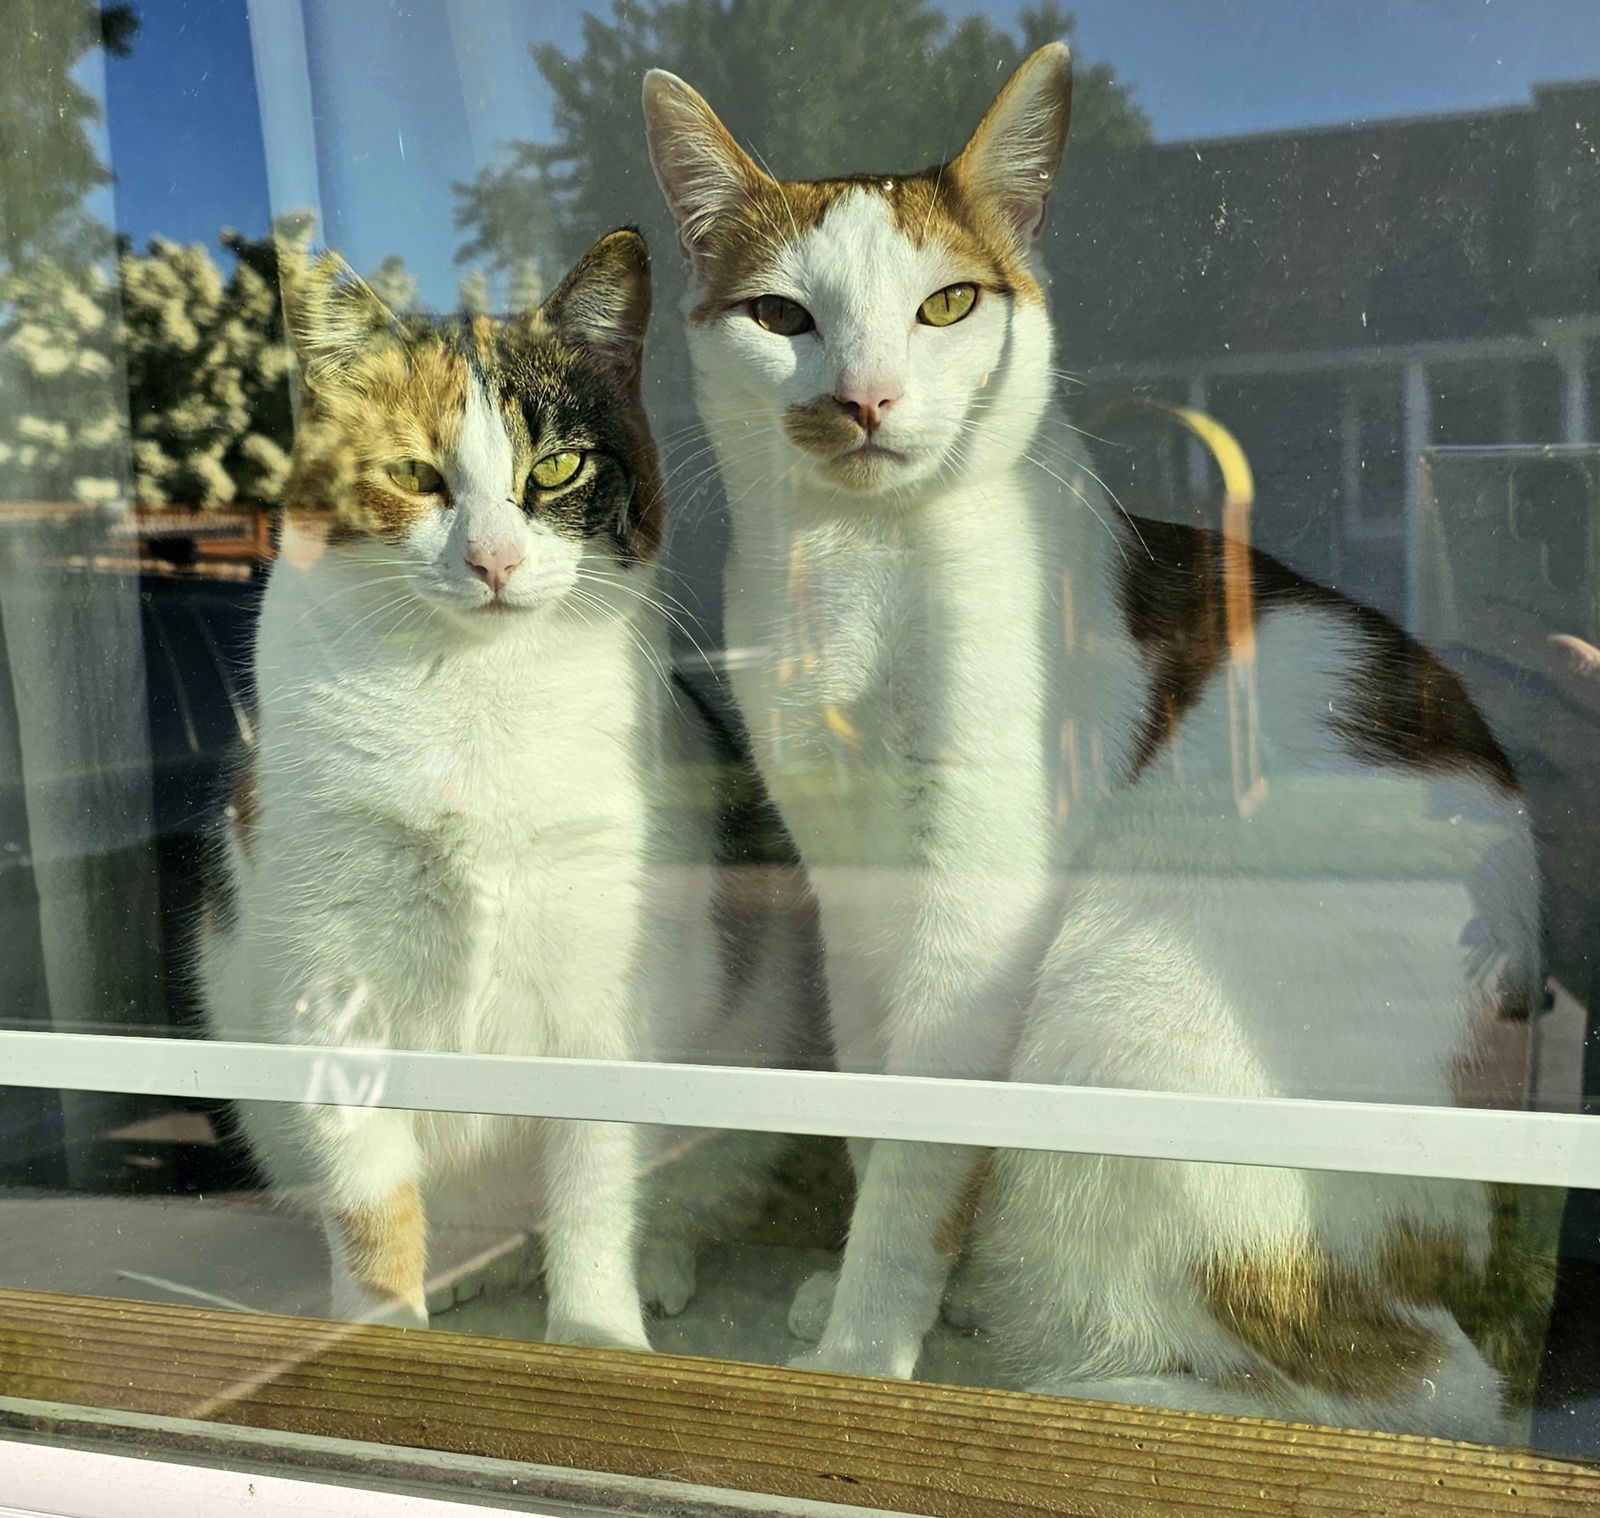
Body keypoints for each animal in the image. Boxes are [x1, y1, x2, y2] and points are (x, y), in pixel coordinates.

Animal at [203, 230, 796, 1343]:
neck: (467, 692)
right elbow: (368, 1203)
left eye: (556, 466)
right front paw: (383, 1334)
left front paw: (596, 1339)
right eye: (411, 473)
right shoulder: (328, 977)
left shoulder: (604, 984)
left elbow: (594, 1194)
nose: (492, 560)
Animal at [640, 38, 1536, 1433]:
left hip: (1114, 1006)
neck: (853, 564)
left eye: (949, 305)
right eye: (781, 318)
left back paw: (1078, 1394)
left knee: (1425, 1392)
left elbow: (919, 1147)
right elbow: (871, 1100)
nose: (863, 399)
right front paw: (881, 1292)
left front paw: (863, 1356)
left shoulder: (980, 904)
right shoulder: (850, 886)